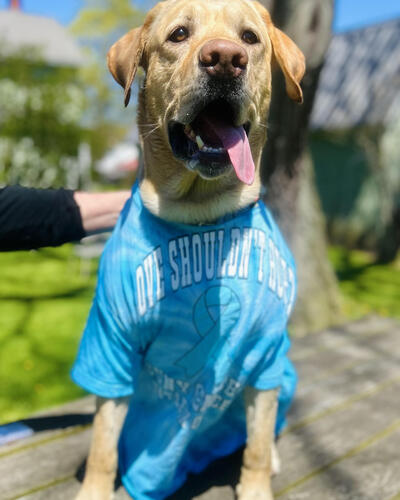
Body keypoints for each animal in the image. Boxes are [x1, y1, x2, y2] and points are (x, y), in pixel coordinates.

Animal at [75, 0, 304, 498]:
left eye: (250, 38)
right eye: (179, 34)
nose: (225, 59)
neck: (200, 215)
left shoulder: (266, 355)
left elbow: (258, 443)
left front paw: (256, 486)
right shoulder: (110, 345)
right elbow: (103, 446)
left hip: (285, 372)